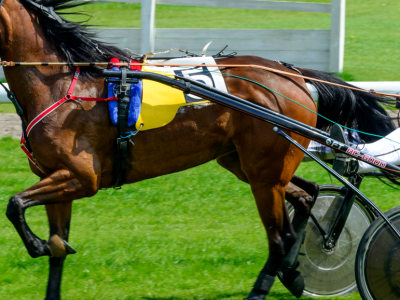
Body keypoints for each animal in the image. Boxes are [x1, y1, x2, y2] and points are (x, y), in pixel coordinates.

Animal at [0, 0, 394, 298]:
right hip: (244, 163)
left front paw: (34, 245)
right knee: (306, 193)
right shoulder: (59, 179)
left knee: (280, 236)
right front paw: (46, 249)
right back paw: (293, 273)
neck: (61, 84)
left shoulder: (82, 178)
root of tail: (294, 75)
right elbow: (56, 248)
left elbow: (14, 204)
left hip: (264, 174)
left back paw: (267, 285)